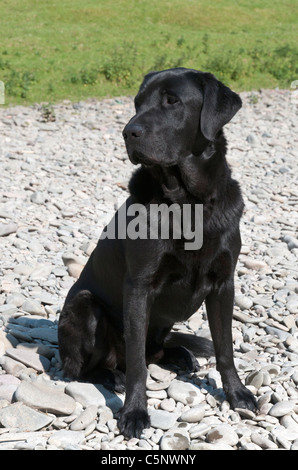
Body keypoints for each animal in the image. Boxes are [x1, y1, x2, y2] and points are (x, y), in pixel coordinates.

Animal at [57, 67, 256, 436]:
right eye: (137, 103)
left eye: (172, 101)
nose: (128, 132)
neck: (188, 202)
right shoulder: (139, 287)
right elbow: (137, 365)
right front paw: (135, 412)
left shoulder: (224, 283)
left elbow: (225, 348)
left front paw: (237, 393)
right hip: (85, 306)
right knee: (84, 368)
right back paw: (110, 375)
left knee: (157, 352)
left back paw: (181, 355)